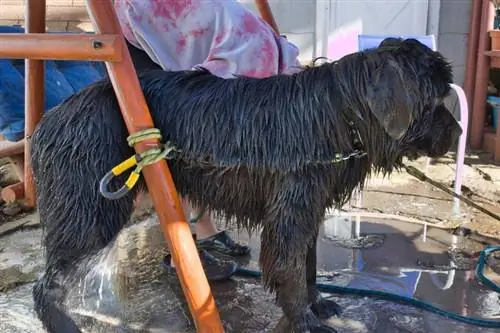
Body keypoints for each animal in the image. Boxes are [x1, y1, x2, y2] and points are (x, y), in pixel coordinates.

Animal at [30, 37, 460, 330]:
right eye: (436, 99)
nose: (457, 133)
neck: (337, 114)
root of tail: (51, 119)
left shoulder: (307, 210)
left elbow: (308, 264)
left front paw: (318, 304)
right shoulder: (290, 214)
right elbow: (290, 269)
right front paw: (305, 320)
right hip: (91, 209)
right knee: (47, 284)